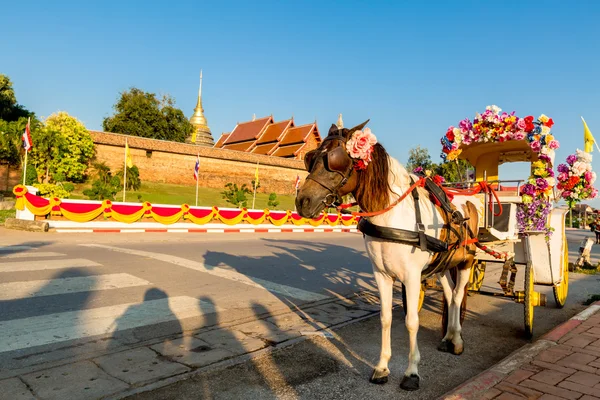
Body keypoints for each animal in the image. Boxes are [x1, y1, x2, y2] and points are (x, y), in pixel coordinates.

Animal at [296, 121, 478, 390]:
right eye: (311, 158)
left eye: (334, 160)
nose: (302, 201)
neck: (391, 216)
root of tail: (468, 198)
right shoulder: (381, 274)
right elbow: (386, 318)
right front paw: (382, 367)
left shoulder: (412, 277)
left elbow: (412, 320)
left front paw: (412, 372)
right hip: (442, 264)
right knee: (449, 294)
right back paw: (448, 337)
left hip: (467, 261)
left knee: (457, 295)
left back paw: (456, 340)